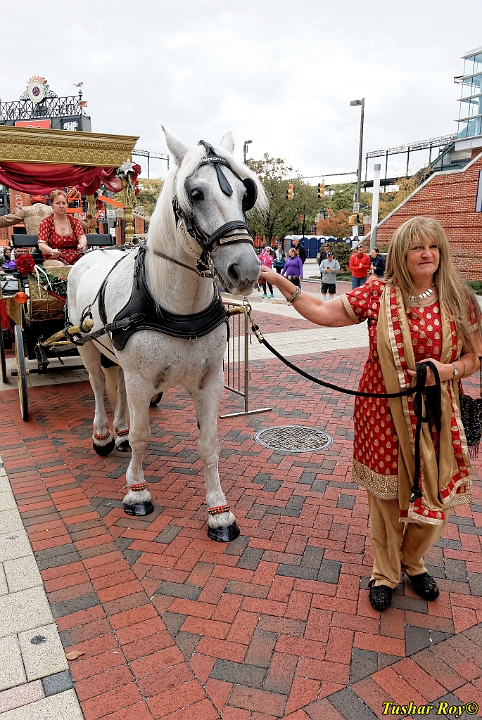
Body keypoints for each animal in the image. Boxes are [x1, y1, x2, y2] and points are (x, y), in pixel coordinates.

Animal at [67, 128, 266, 541]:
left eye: (245, 192)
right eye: (196, 193)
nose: (246, 270)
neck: (176, 307)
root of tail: (89, 254)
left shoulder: (210, 381)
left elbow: (209, 443)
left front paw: (219, 511)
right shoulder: (142, 378)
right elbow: (143, 435)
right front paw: (137, 491)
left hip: (117, 355)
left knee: (117, 385)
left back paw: (119, 431)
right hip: (89, 346)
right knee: (97, 385)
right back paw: (104, 436)